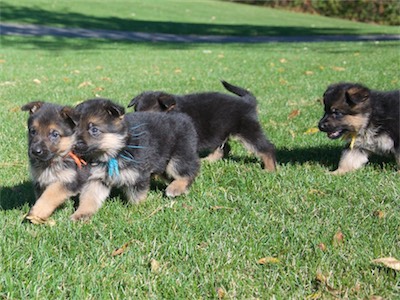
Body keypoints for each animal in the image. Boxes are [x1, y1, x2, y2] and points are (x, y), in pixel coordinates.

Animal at [69, 98, 202, 220]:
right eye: (74, 130)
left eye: (94, 130)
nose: (74, 145)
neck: (116, 152)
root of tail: (183, 118)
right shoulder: (96, 179)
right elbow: (89, 197)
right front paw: (81, 214)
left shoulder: (137, 177)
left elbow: (136, 198)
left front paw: (137, 211)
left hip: (177, 157)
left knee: (188, 171)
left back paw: (176, 188)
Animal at [127, 81, 276, 171]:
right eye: (136, 111)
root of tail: (247, 102)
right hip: (220, 131)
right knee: (224, 148)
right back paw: (208, 160)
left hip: (247, 130)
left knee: (266, 147)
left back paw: (270, 169)